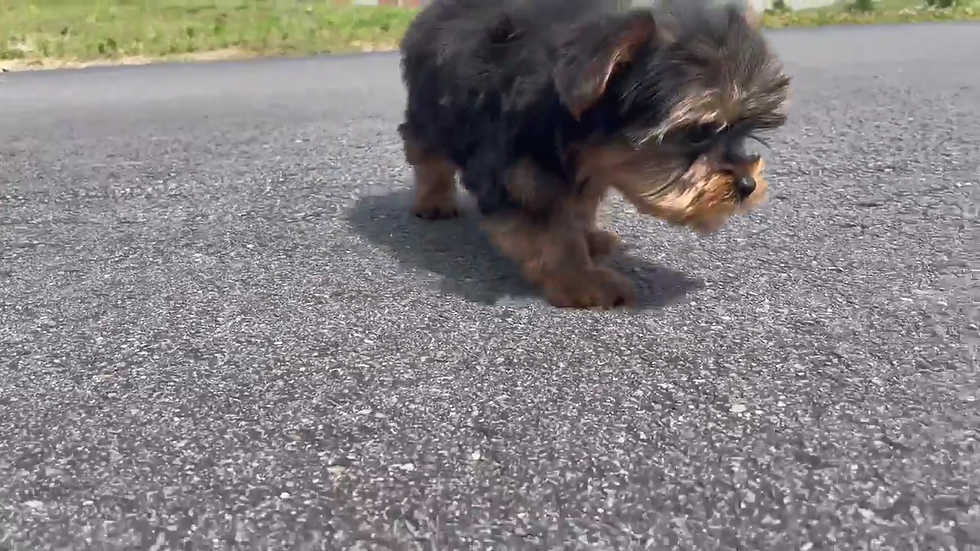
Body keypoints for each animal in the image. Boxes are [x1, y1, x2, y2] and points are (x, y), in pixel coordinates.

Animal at [396, 0, 788, 308]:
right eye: (694, 134)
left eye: (742, 130)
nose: (747, 185)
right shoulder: (520, 174)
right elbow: (552, 234)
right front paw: (583, 281)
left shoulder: (593, 165)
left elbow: (581, 204)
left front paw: (589, 238)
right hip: (430, 111)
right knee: (425, 152)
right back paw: (434, 200)